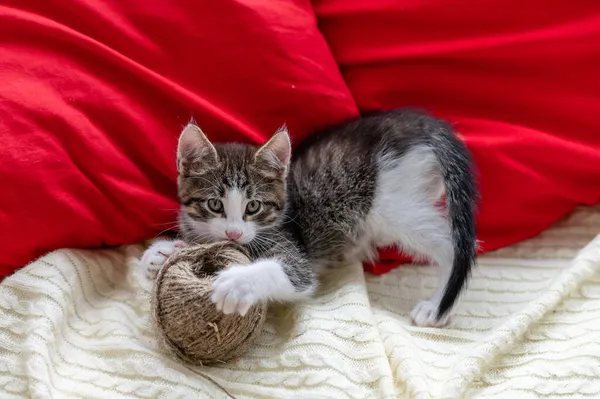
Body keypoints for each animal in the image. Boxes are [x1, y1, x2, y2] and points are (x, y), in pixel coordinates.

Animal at [142, 108, 478, 326]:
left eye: (253, 207)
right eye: (214, 204)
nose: (234, 234)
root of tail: (420, 121)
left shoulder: (293, 251)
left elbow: (288, 273)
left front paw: (237, 283)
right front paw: (163, 251)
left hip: (390, 202)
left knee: (454, 245)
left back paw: (437, 305)